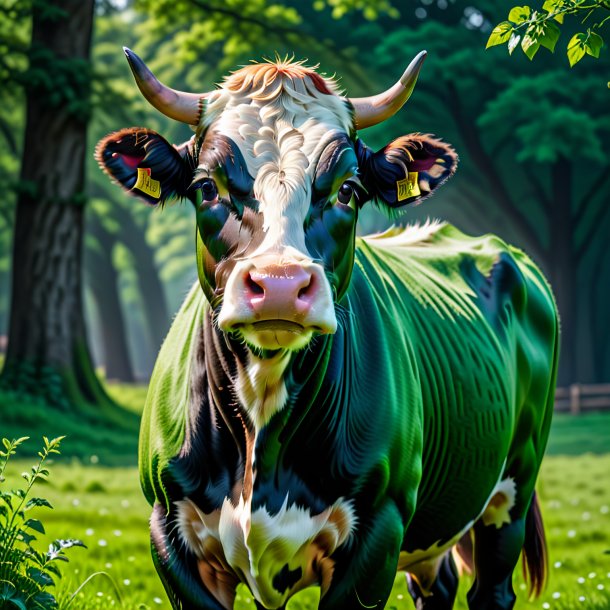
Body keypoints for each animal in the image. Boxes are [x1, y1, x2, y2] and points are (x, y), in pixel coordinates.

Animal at [97, 48, 560, 608]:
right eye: (207, 186)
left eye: (348, 189)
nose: (279, 283)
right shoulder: (169, 531)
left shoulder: (379, 531)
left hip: (513, 486)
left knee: (491, 588)